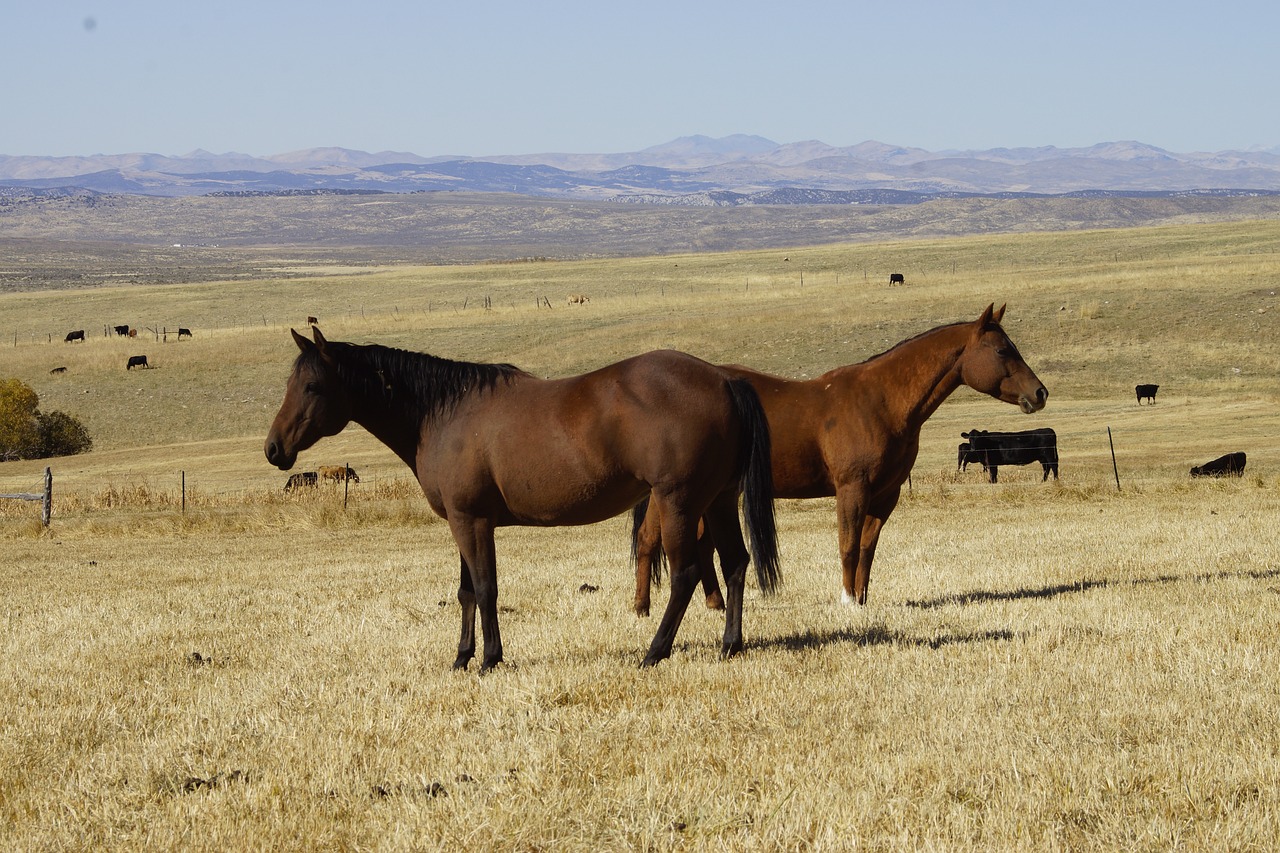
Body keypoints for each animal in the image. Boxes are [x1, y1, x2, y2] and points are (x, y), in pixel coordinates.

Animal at [264, 327, 773, 666]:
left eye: (312, 386)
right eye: (289, 385)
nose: (274, 449)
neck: (444, 412)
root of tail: (723, 379)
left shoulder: (471, 521)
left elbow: (486, 587)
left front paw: (490, 658)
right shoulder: (463, 520)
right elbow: (467, 591)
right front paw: (462, 657)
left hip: (677, 503)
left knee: (686, 575)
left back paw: (654, 652)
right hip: (718, 501)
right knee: (735, 564)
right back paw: (730, 646)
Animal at [632, 302, 1049, 614]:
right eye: (1002, 350)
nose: (1040, 393)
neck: (881, 401)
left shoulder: (885, 495)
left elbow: (866, 548)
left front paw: (862, 600)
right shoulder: (852, 489)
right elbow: (847, 544)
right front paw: (847, 600)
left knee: (699, 544)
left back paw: (715, 604)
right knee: (650, 538)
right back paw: (642, 608)